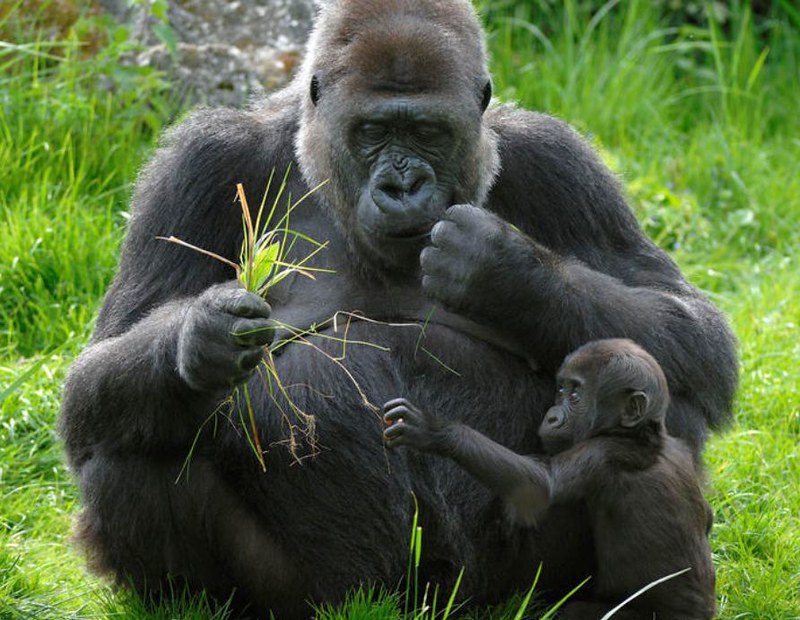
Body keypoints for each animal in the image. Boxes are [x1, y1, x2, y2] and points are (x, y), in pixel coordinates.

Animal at [384, 340, 716, 620]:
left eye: (575, 395)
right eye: (560, 391)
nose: (552, 416)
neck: (641, 433)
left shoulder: (601, 453)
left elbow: (540, 486)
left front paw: (437, 432)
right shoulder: (677, 446)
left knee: (575, 613)